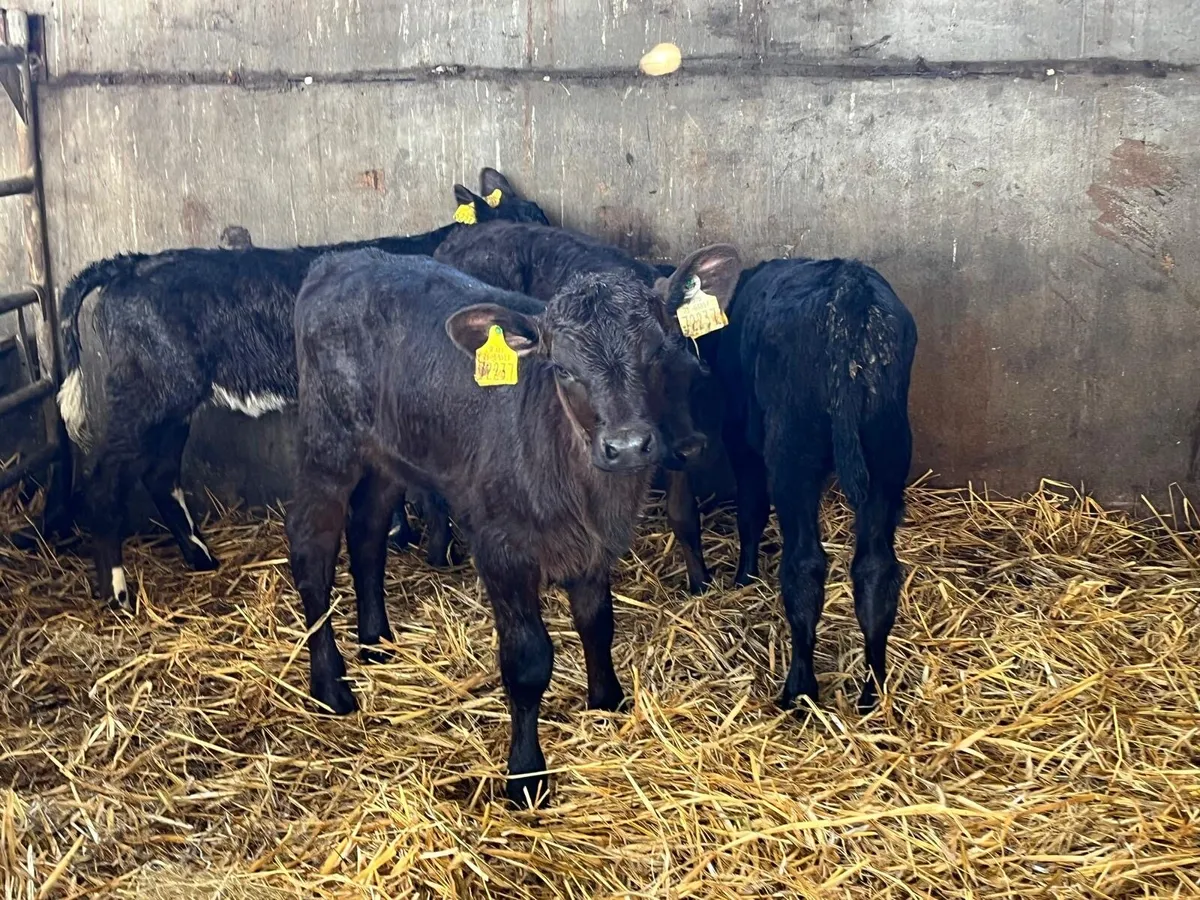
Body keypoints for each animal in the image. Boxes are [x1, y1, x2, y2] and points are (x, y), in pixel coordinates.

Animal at [50, 169, 547, 612]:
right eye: (515, 229)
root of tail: (130, 264)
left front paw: (399, 534)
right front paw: (437, 551)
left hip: (172, 403)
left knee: (159, 473)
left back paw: (200, 557)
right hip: (143, 395)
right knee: (105, 481)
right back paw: (117, 592)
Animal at [289, 245, 740, 807]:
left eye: (657, 352)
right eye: (562, 369)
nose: (629, 445)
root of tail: (339, 260)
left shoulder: (594, 548)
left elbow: (598, 623)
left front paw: (607, 699)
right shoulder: (502, 549)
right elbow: (527, 663)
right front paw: (526, 774)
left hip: (387, 455)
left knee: (368, 533)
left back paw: (376, 641)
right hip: (326, 445)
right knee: (312, 551)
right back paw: (330, 685)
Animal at [664, 257, 917, 714]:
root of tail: (849, 287)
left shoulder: (740, 437)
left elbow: (750, 510)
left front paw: (744, 576)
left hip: (792, 455)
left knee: (804, 566)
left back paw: (799, 688)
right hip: (887, 452)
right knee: (876, 570)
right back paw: (873, 691)